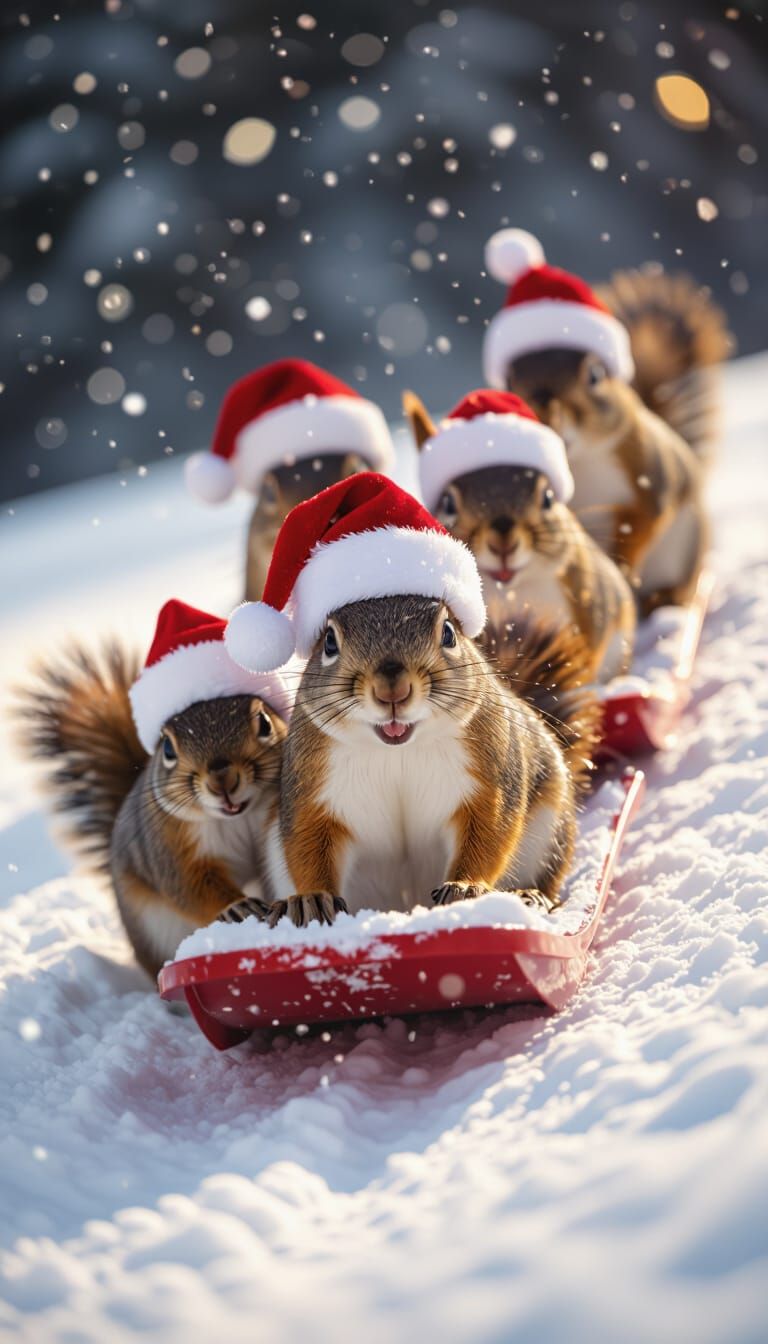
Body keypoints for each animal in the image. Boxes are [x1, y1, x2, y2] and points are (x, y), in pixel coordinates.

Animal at [17, 602, 292, 978]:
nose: (221, 780)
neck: (239, 817)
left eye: (264, 723)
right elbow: (190, 886)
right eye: (168, 749)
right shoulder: (169, 847)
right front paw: (238, 907)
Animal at [221, 472, 600, 929]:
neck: (397, 750)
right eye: (328, 642)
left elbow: (488, 833)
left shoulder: (490, 773)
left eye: (449, 633)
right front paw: (311, 899)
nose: (392, 689)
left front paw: (465, 887)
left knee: (546, 878)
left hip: (549, 830)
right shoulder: (313, 787)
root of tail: (402, 905)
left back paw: (531, 896)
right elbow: (309, 844)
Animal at [481, 230, 717, 615]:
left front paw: (622, 567)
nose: (544, 413)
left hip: (686, 553)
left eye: (595, 375)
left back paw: (661, 599)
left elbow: (646, 519)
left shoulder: (649, 474)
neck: (577, 462)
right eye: (509, 382)